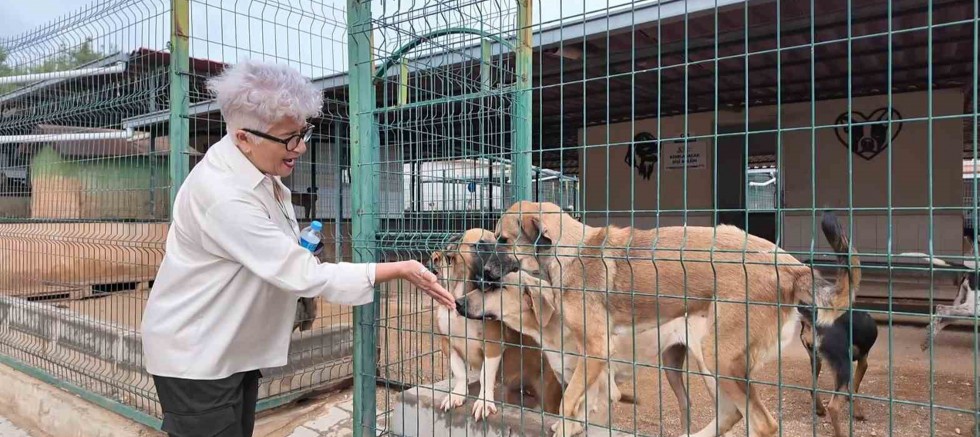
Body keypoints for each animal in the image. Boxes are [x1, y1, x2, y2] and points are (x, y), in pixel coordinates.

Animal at [482, 202, 856, 436]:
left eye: (503, 240)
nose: (483, 273)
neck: (568, 251)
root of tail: (791, 265)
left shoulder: (596, 350)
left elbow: (571, 401)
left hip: (718, 356)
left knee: (762, 423)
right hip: (700, 361)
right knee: (732, 413)